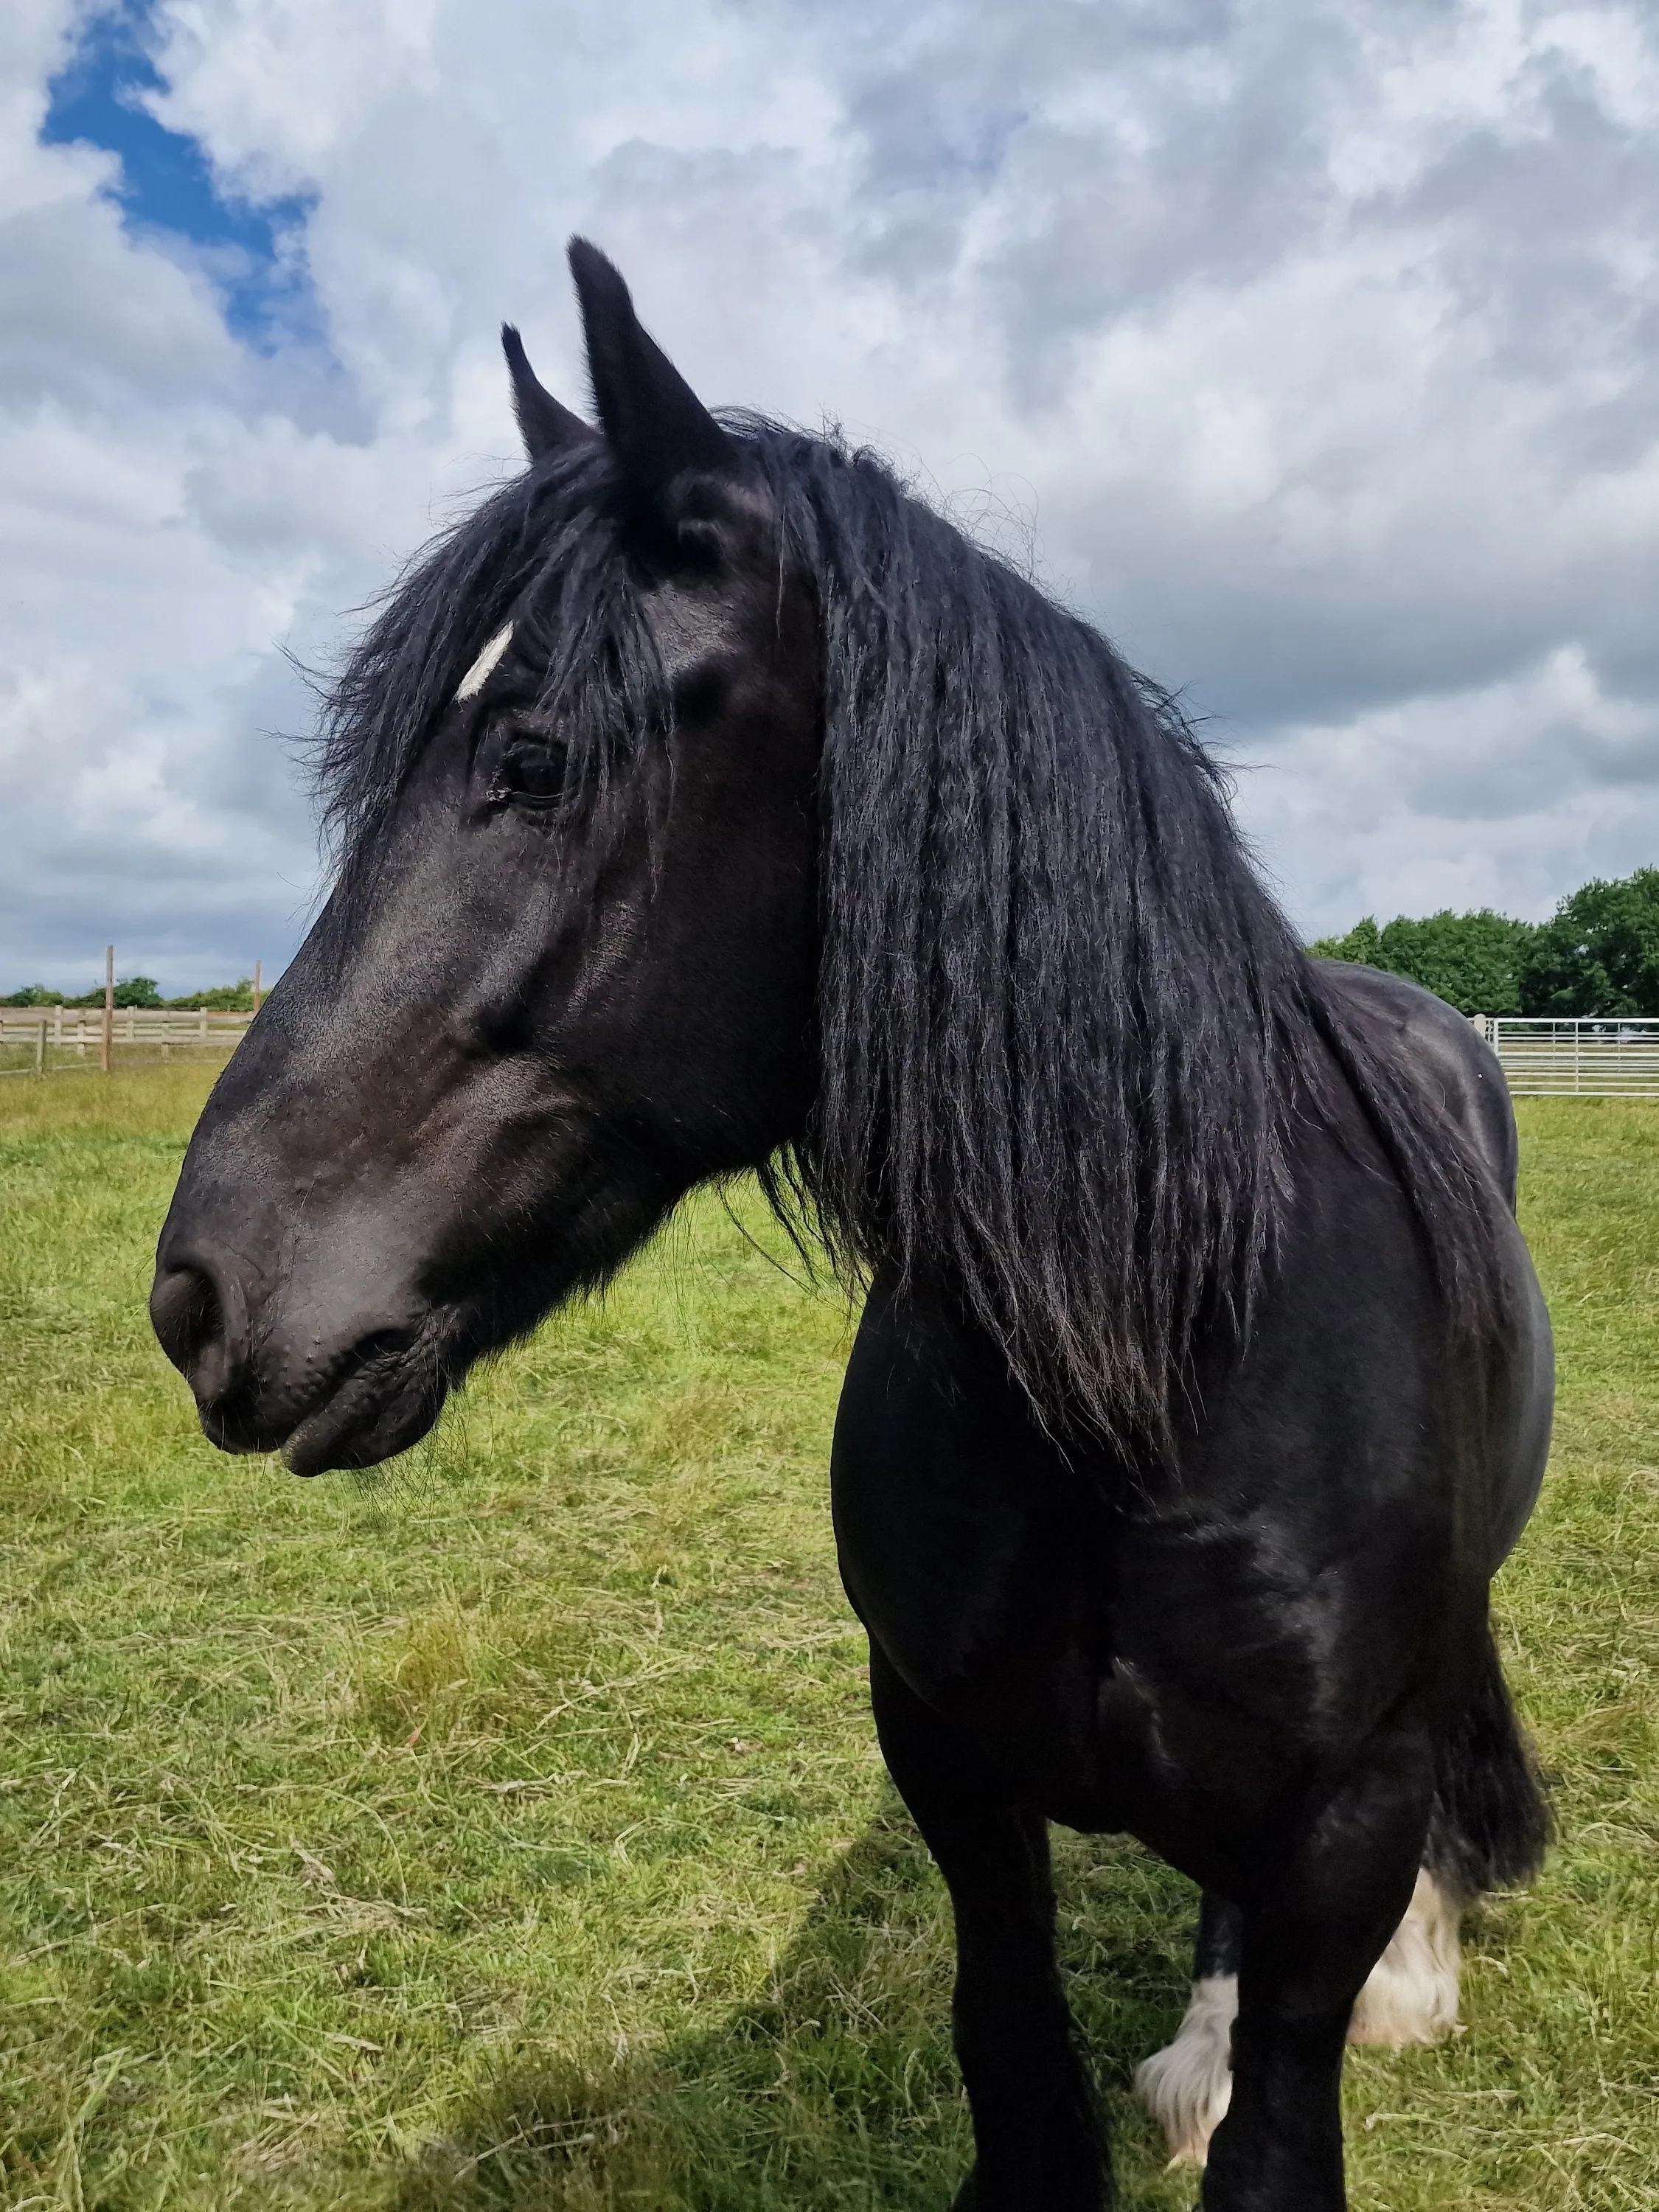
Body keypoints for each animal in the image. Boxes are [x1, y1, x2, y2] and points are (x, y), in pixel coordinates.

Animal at [151, 240, 1552, 2210]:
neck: (1156, 1381)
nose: (198, 1295)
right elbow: (1018, 2069)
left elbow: (1288, 2107)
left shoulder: (1337, 1813)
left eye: (533, 762)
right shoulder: (953, 1773)